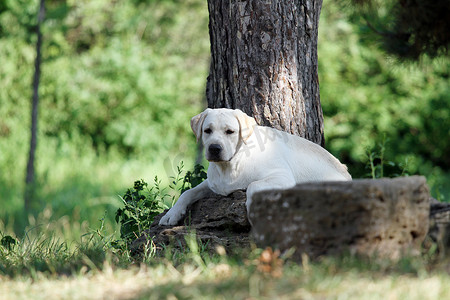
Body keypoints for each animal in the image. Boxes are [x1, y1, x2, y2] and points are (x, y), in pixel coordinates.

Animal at [159, 108, 352, 225]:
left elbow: (253, 185)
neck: (231, 165)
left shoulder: (282, 177)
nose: (214, 148)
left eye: (230, 132)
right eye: (207, 131)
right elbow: (187, 193)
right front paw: (171, 214)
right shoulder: (213, 184)